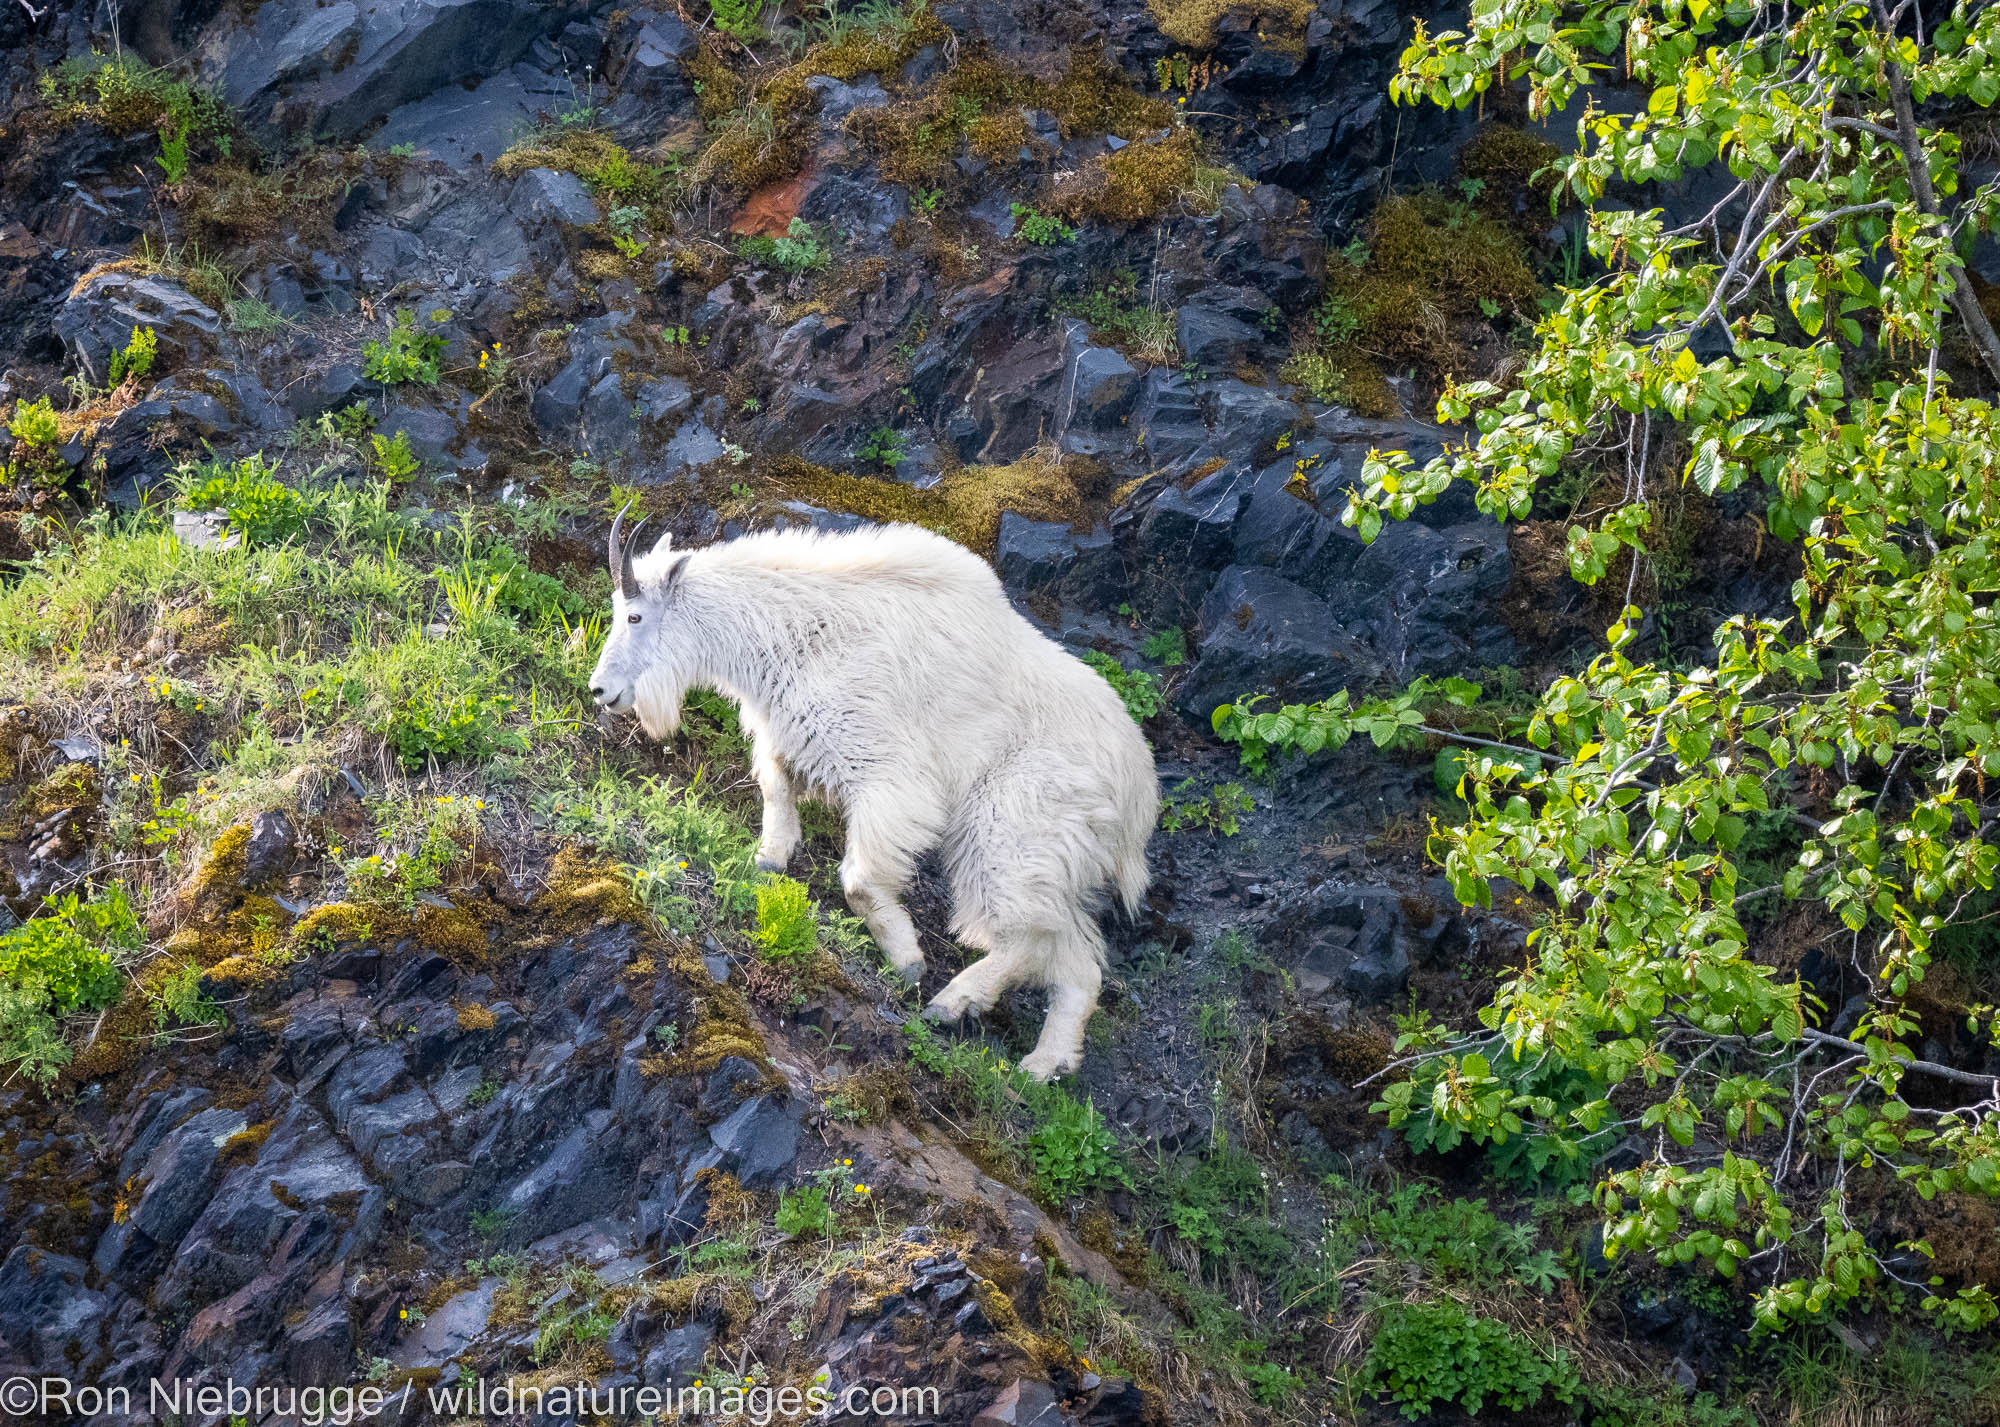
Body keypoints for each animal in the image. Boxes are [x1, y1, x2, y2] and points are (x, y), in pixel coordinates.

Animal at [588, 511, 1160, 1079]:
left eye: (634, 616)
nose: (600, 690)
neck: (793, 633)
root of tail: (1139, 791)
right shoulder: (789, 733)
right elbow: (776, 784)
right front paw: (770, 857)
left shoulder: (886, 773)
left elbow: (860, 880)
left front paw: (907, 961)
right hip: (1055, 861)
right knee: (1076, 962)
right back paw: (1043, 1064)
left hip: (1011, 830)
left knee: (1027, 938)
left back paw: (951, 1003)